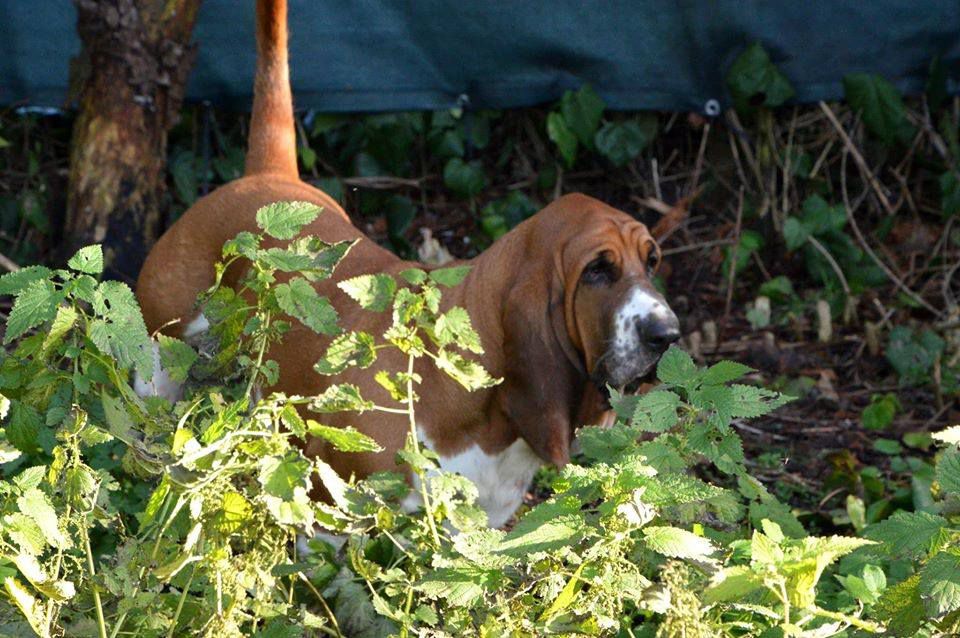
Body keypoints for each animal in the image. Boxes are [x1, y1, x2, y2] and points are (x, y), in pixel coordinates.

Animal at [135, 0, 680, 528]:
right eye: (596, 271)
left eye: (651, 260)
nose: (669, 334)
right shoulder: (334, 507)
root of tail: (267, 176)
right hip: (156, 367)